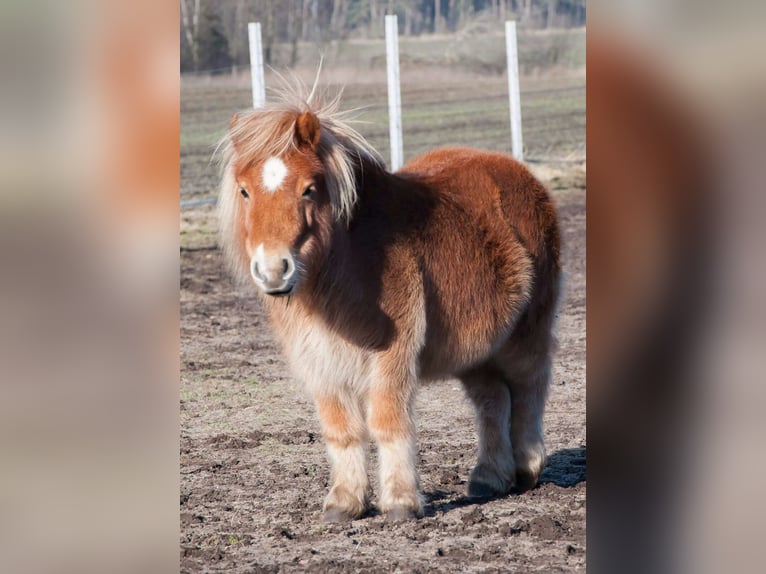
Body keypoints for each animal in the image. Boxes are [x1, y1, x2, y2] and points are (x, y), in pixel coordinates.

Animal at [219, 88, 560, 524]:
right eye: (245, 191)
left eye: (308, 189)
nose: (274, 271)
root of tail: (522, 175)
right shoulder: (320, 362)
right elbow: (341, 430)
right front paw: (345, 501)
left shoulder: (391, 356)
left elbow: (387, 420)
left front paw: (400, 501)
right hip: (477, 348)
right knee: (493, 399)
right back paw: (489, 477)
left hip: (524, 335)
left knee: (530, 388)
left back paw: (528, 467)